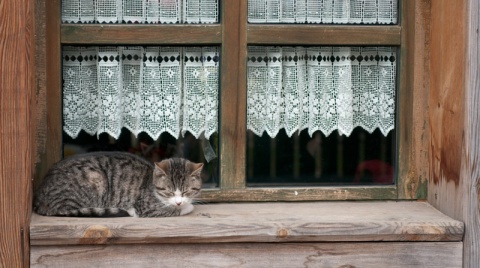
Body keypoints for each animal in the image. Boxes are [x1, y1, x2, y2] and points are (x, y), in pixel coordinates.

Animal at [33, 151, 202, 218]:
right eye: (169, 192)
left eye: (186, 192)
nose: (179, 202)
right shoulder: (148, 208)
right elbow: (173, 210)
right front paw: (185, 207)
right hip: (96, 179)